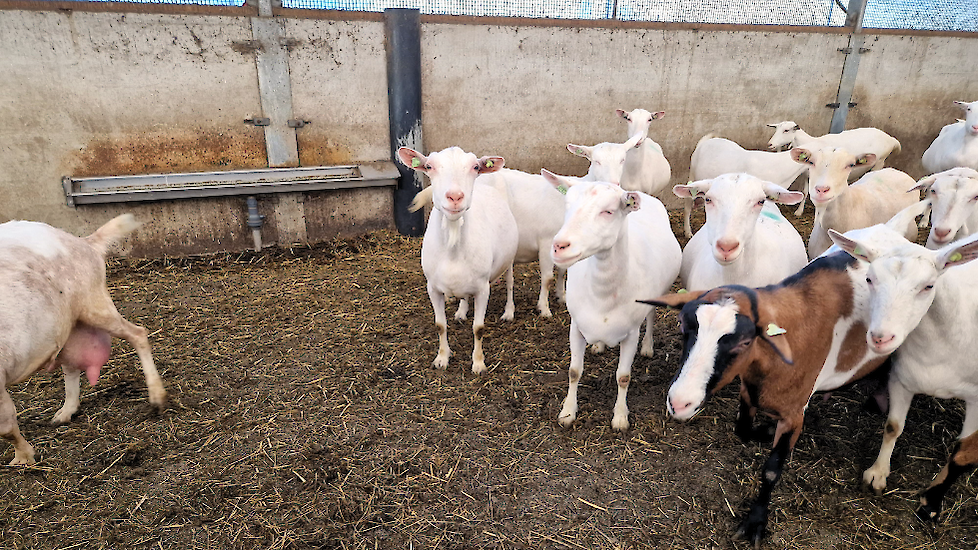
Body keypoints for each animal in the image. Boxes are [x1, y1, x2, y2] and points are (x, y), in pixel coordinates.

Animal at [0, 216, 166, 466]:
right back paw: (64, 413)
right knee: (71, 365)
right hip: (67, 325)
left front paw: (23, 458)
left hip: (93, 302)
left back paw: (157, 397)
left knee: (137, 333)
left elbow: (7, 427)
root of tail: (85, 243)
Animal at [396, 147, 520, 376]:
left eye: (475, 167)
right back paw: (462, 311)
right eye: (429, 166)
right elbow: (440, 325)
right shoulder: (432, 287)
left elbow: (478, 328)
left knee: (509, 282)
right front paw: (442, 358)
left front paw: (478, 364)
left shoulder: (483, 288)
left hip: (509, 257)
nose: (455, 196)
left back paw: (508, 312)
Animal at [544, 171, 684, 432]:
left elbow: (623, 376)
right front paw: (567, 412)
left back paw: (648, 347)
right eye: (567, 205)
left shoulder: (630, 333)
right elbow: (574, 371)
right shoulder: (576, 326)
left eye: (608, 211)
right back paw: (599, 346)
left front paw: (620, 418)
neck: (602, 295)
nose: (559, 246)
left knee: (651, 316)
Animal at [828, 226, 978, 524]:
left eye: (928, 286)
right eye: (869, 279)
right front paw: (877, 474)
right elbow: (892, 427)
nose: (880, 338)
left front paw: (931, 503)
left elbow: (962, 456)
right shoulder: (902, 379)